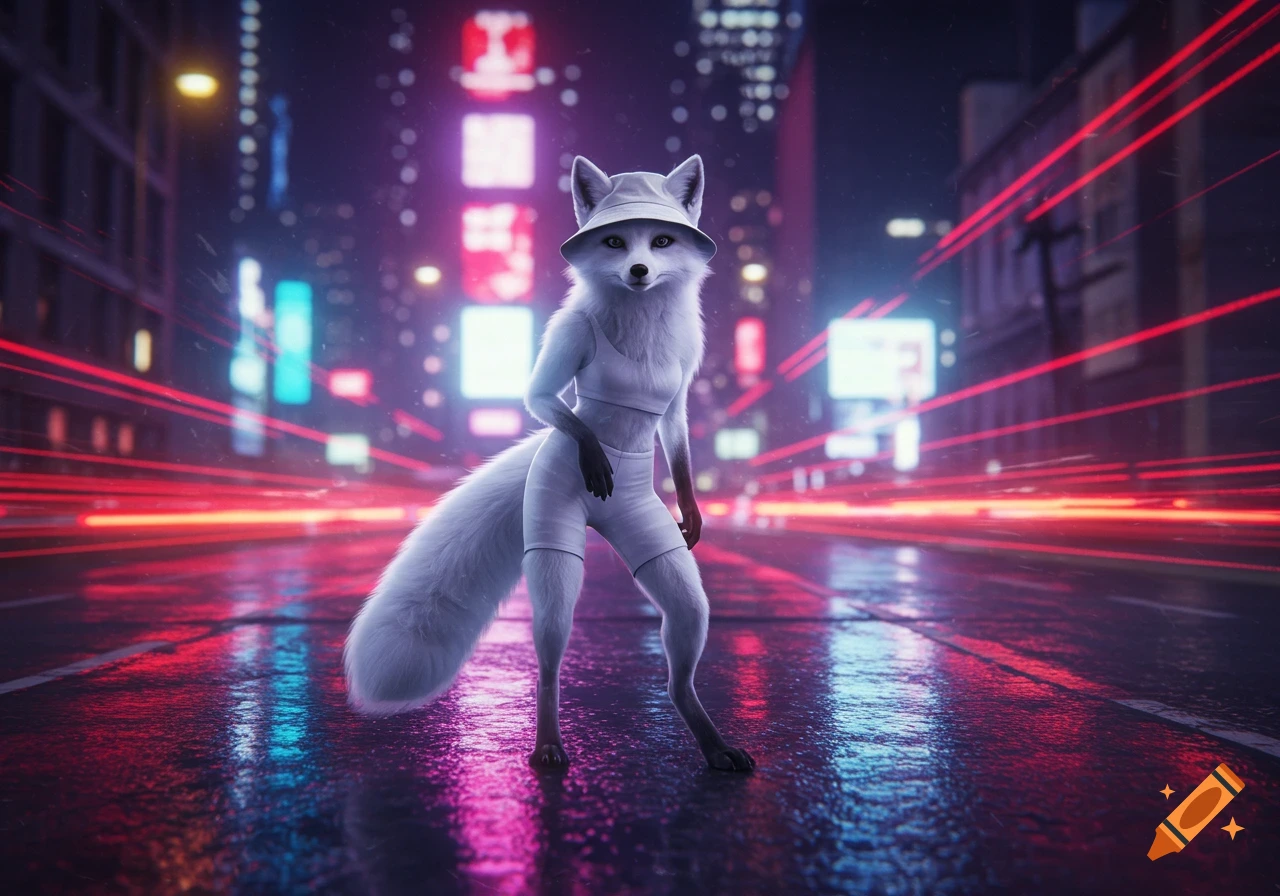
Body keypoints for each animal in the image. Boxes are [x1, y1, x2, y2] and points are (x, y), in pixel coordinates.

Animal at [343, 155, 755, 773]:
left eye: (661, 241)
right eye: (614, 241)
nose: (638, 269)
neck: (643, 323)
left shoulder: (680, 383)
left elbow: (677, 433)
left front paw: (692, 511)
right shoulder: (568, 334)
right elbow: (542, 397)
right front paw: (594, 452)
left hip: (658, 561)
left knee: (680, 653)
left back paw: (711, 743)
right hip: (554, 551)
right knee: (549, 659)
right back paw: (548, 743)